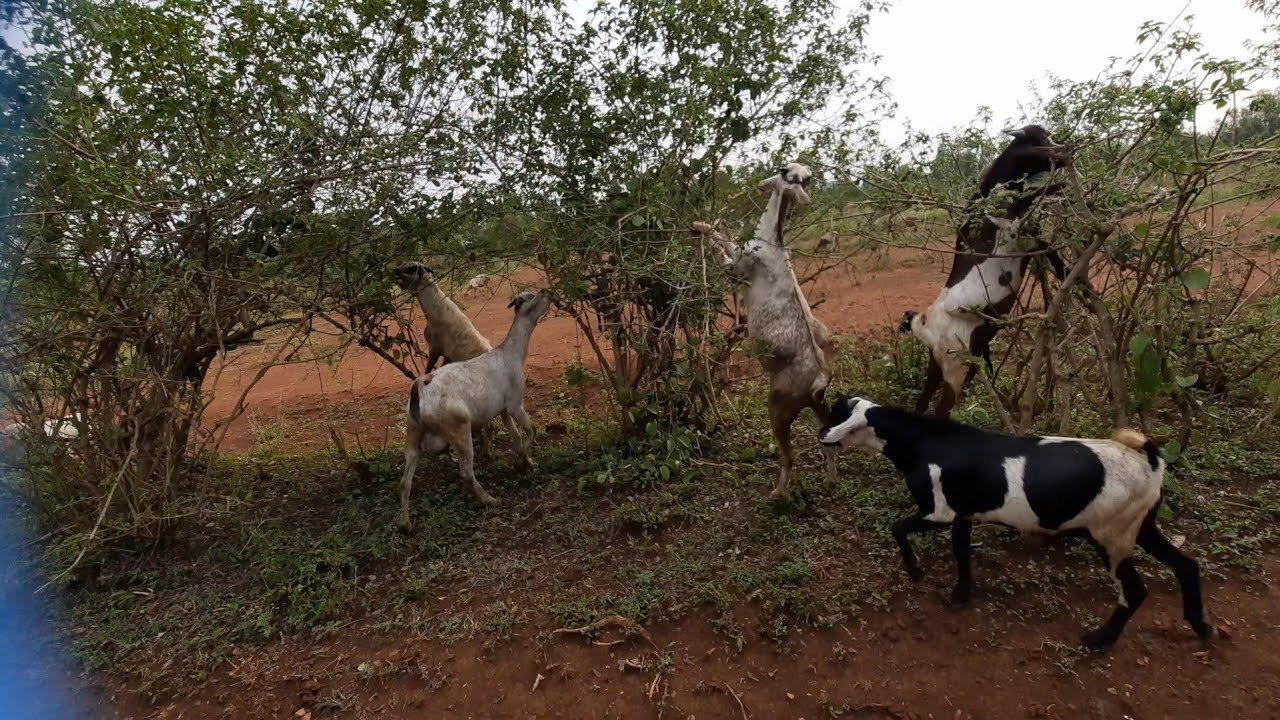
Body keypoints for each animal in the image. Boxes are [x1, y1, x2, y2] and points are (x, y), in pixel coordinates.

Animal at [395, 291, 551, 530]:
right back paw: (489, 499)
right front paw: (523, 461)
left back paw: (405, 523)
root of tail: (420, 387)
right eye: (532, 297)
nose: (549, 293)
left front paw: (526, 462)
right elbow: (530, 430)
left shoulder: (502, 410)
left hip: (412, 434)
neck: (511, 353)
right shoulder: (515, 403)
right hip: (459, 428)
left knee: (405, 482)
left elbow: (515, 437)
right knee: (466, 472)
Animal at [692, 163, 837, 498]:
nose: (761, 184)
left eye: (783, 170)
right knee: (828, 445)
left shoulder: (736, 268)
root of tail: (818, 380)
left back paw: (777, 493)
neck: (772, 240)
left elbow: (721, 243)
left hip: (778, 408)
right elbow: (725, 237)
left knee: (789, 456)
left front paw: (700, 225)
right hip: (819, 407)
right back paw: (829, 481)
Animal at [818, 394, 1213, 649]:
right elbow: (961, 553)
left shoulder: (939, 512)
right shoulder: (963, 514)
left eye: (834, 415)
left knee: (1134, 592)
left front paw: (915, 572)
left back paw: (1101, 640)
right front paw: (961, 594)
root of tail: (1148, 457)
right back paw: (1201, 626)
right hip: (1141, 527)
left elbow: (898, 528)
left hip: (1110, 537)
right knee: (1186, 566)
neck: (923, 443)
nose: (820, 436)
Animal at [904, 124, 1071, 417]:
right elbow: (1045, 235)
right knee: (941, 409)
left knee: (922, 400)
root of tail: (924, 326)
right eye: (1037, 140)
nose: (1065, 150)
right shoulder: (1015, 234)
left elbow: (1046, 240)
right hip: (956, 367)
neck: (990, 196)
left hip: (938, 364)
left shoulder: (1029, 231)